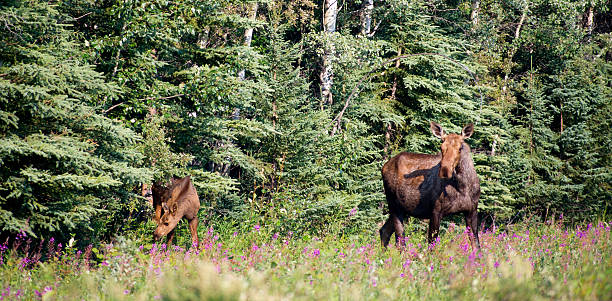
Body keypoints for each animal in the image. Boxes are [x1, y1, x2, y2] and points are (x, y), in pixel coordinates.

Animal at [380, 120, 480, 250]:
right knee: (400, 240)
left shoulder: (472, 210)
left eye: (460, 148)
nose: (445, 170)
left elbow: (476, 245)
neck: (462, 187)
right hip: (394, 205)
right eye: (441, 147)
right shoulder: (435, 211)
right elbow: (431, 245)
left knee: (385, 231)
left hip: (403, 209)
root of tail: (384, 167)